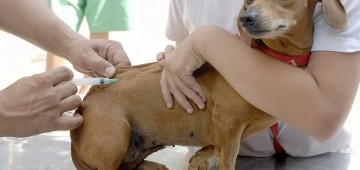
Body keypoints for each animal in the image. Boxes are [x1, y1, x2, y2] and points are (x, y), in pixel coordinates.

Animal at [69, 0, 346, 169]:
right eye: (247, 1)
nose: (246, 18)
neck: (271, 58)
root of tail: (87, 100)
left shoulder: (228, 133)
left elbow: (212, 147)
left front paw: (198, 158)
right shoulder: (227, 124)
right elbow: (227, 158)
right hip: (116, 137)